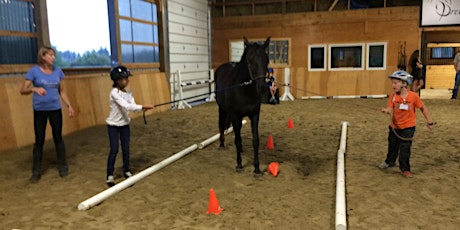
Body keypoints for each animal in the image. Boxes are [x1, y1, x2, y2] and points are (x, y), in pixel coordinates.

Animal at [215, 36, 272, 176]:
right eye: (250, 61)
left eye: (266, 60)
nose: (262, 89)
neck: (244, 89)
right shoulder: (235, 115)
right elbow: (237, 139)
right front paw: (239, 165)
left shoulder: (255, 115)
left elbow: (255, 140)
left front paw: (257, 168)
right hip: (222, 109)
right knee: (222, 125)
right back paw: (222, 144)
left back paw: (240, 149)